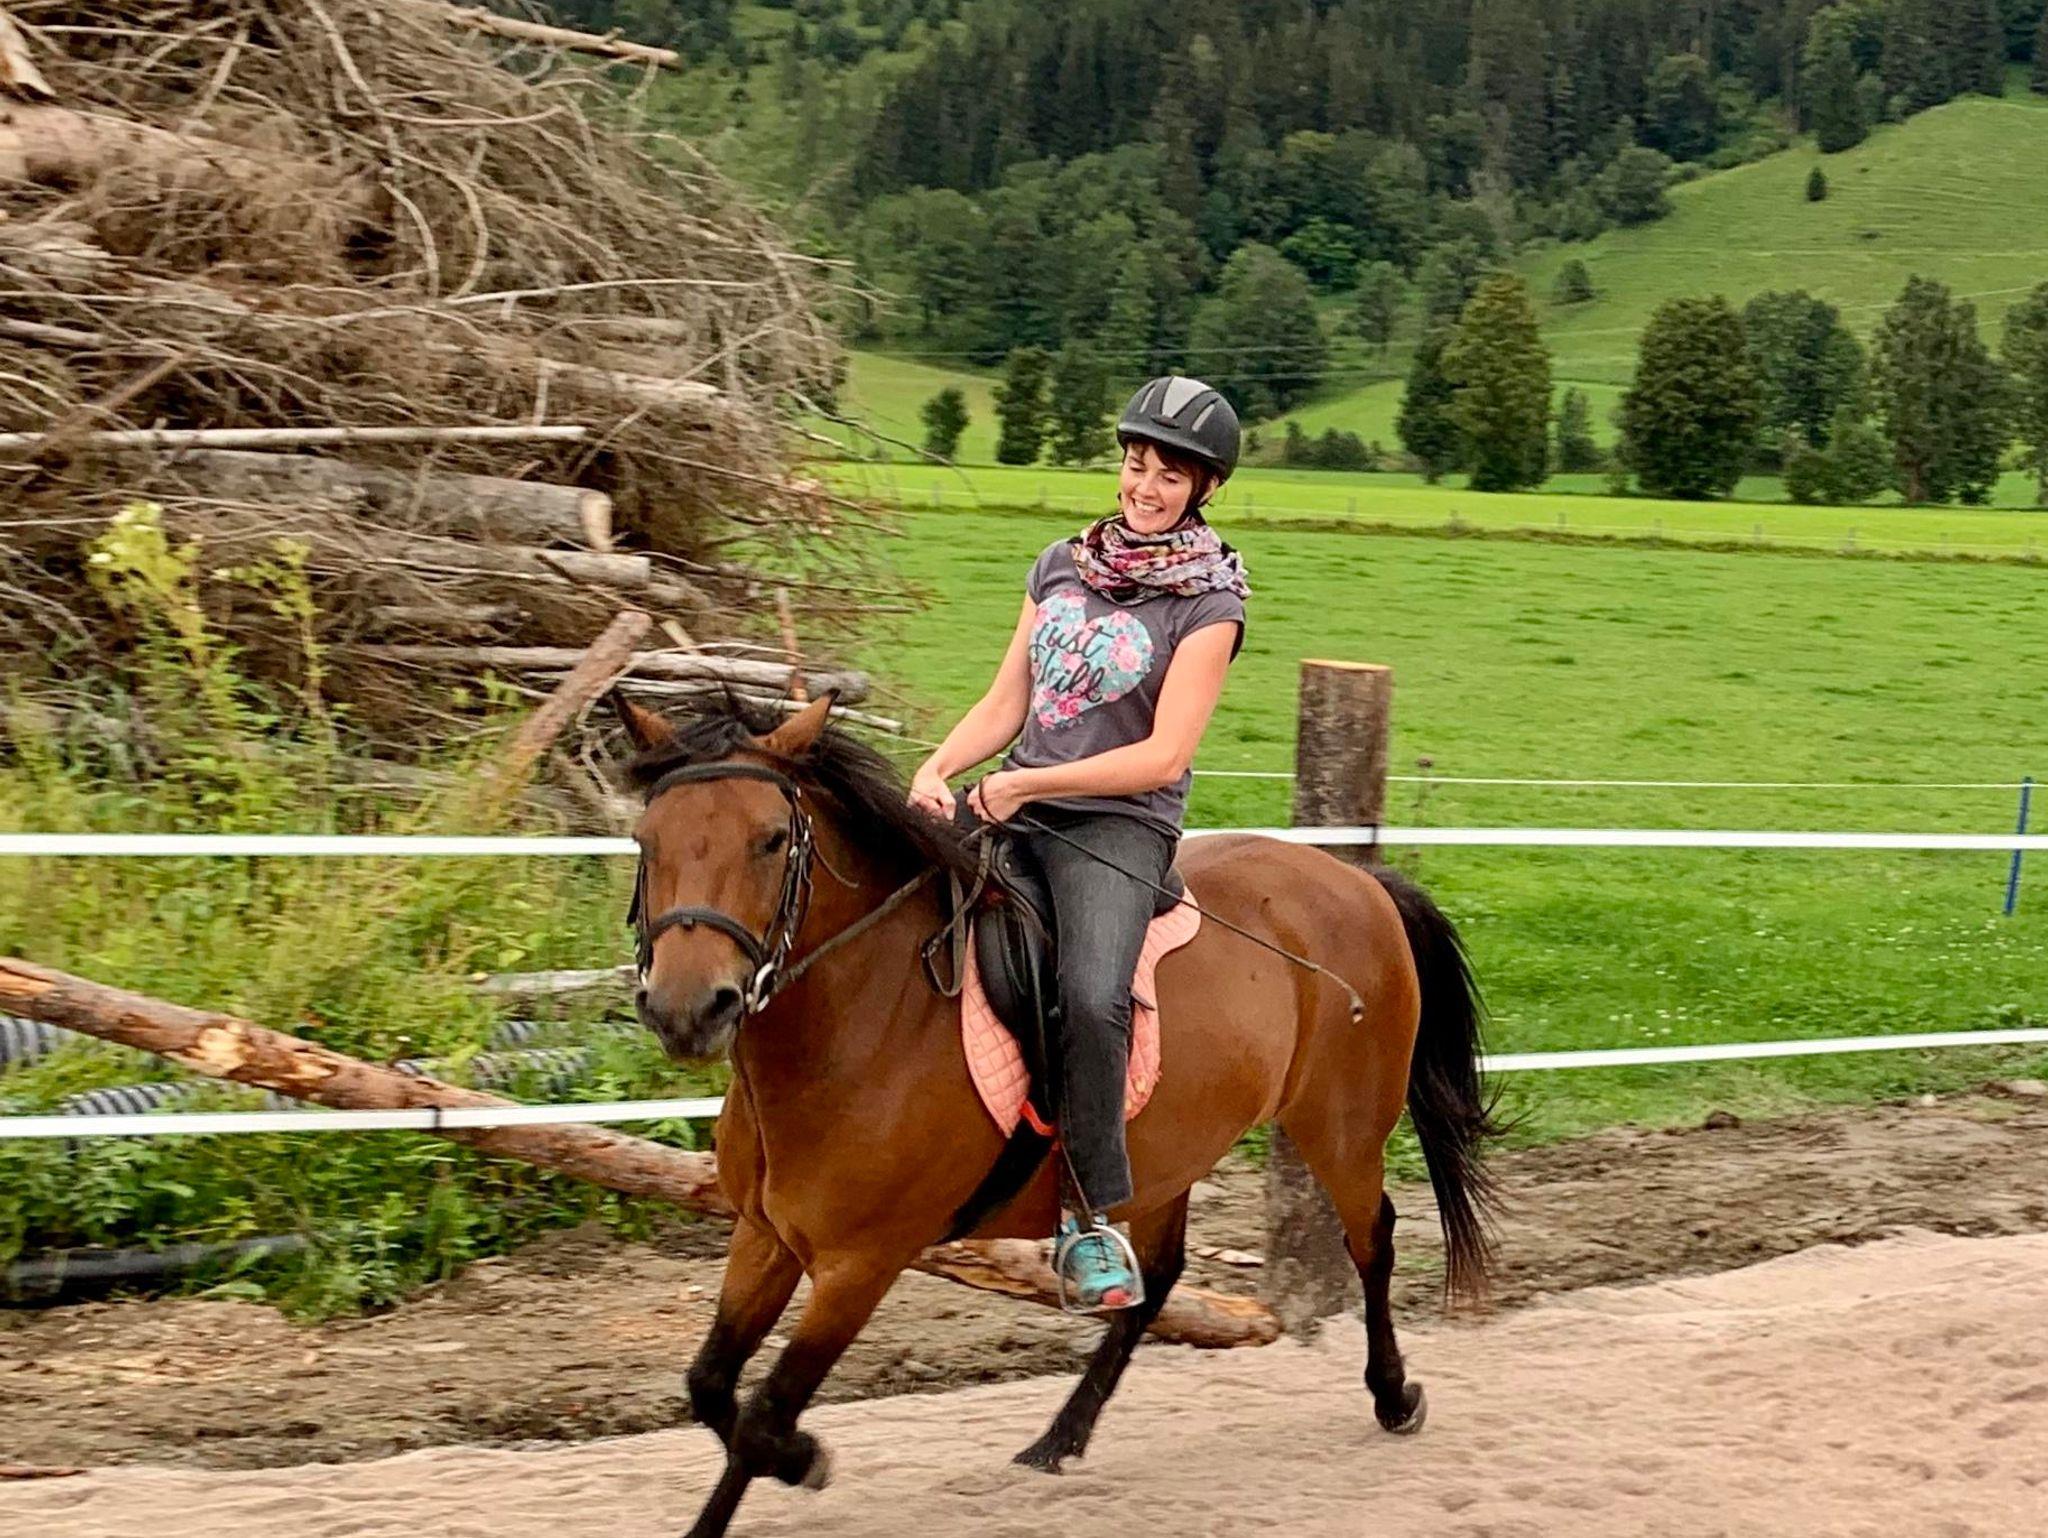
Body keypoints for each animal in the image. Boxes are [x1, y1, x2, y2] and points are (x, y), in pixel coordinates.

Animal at [615, 691, 1502, 1538]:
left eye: (771, 840)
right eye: (647, 841)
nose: (688, 1009)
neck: (863, 1017)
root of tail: (1358, 880)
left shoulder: (859, 1266)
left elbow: (763, 1418)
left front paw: (799, 1459)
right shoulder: (765, 1235)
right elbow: (710, 1385)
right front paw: (804, 1460)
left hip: (1341, 1129)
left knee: (1374, 1241)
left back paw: (1394, 1397)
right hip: (1168, 1151)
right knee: (1160, 1277)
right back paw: (1059, 1439)